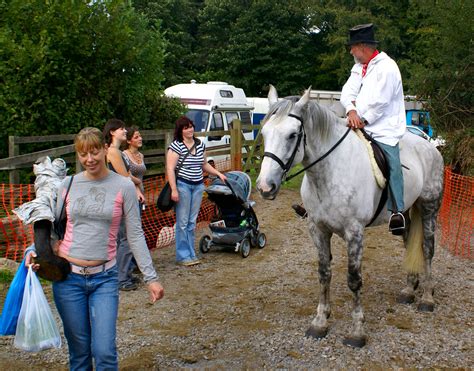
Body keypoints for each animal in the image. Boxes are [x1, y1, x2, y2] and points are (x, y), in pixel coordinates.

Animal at [256, 85, 444, 348]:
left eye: (293, 135)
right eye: (264, 132)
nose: (265, 187)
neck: (329, 172)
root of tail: (430, 147)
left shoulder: (354, 232)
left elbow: (354, 279)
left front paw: (357, 331)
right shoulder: (318, 229)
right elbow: (324, 273)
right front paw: (320, 322)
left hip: (429, 207)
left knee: (427, 248)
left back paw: (427, 298)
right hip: (407, 212)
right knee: (409, 243)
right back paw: (409, 290)